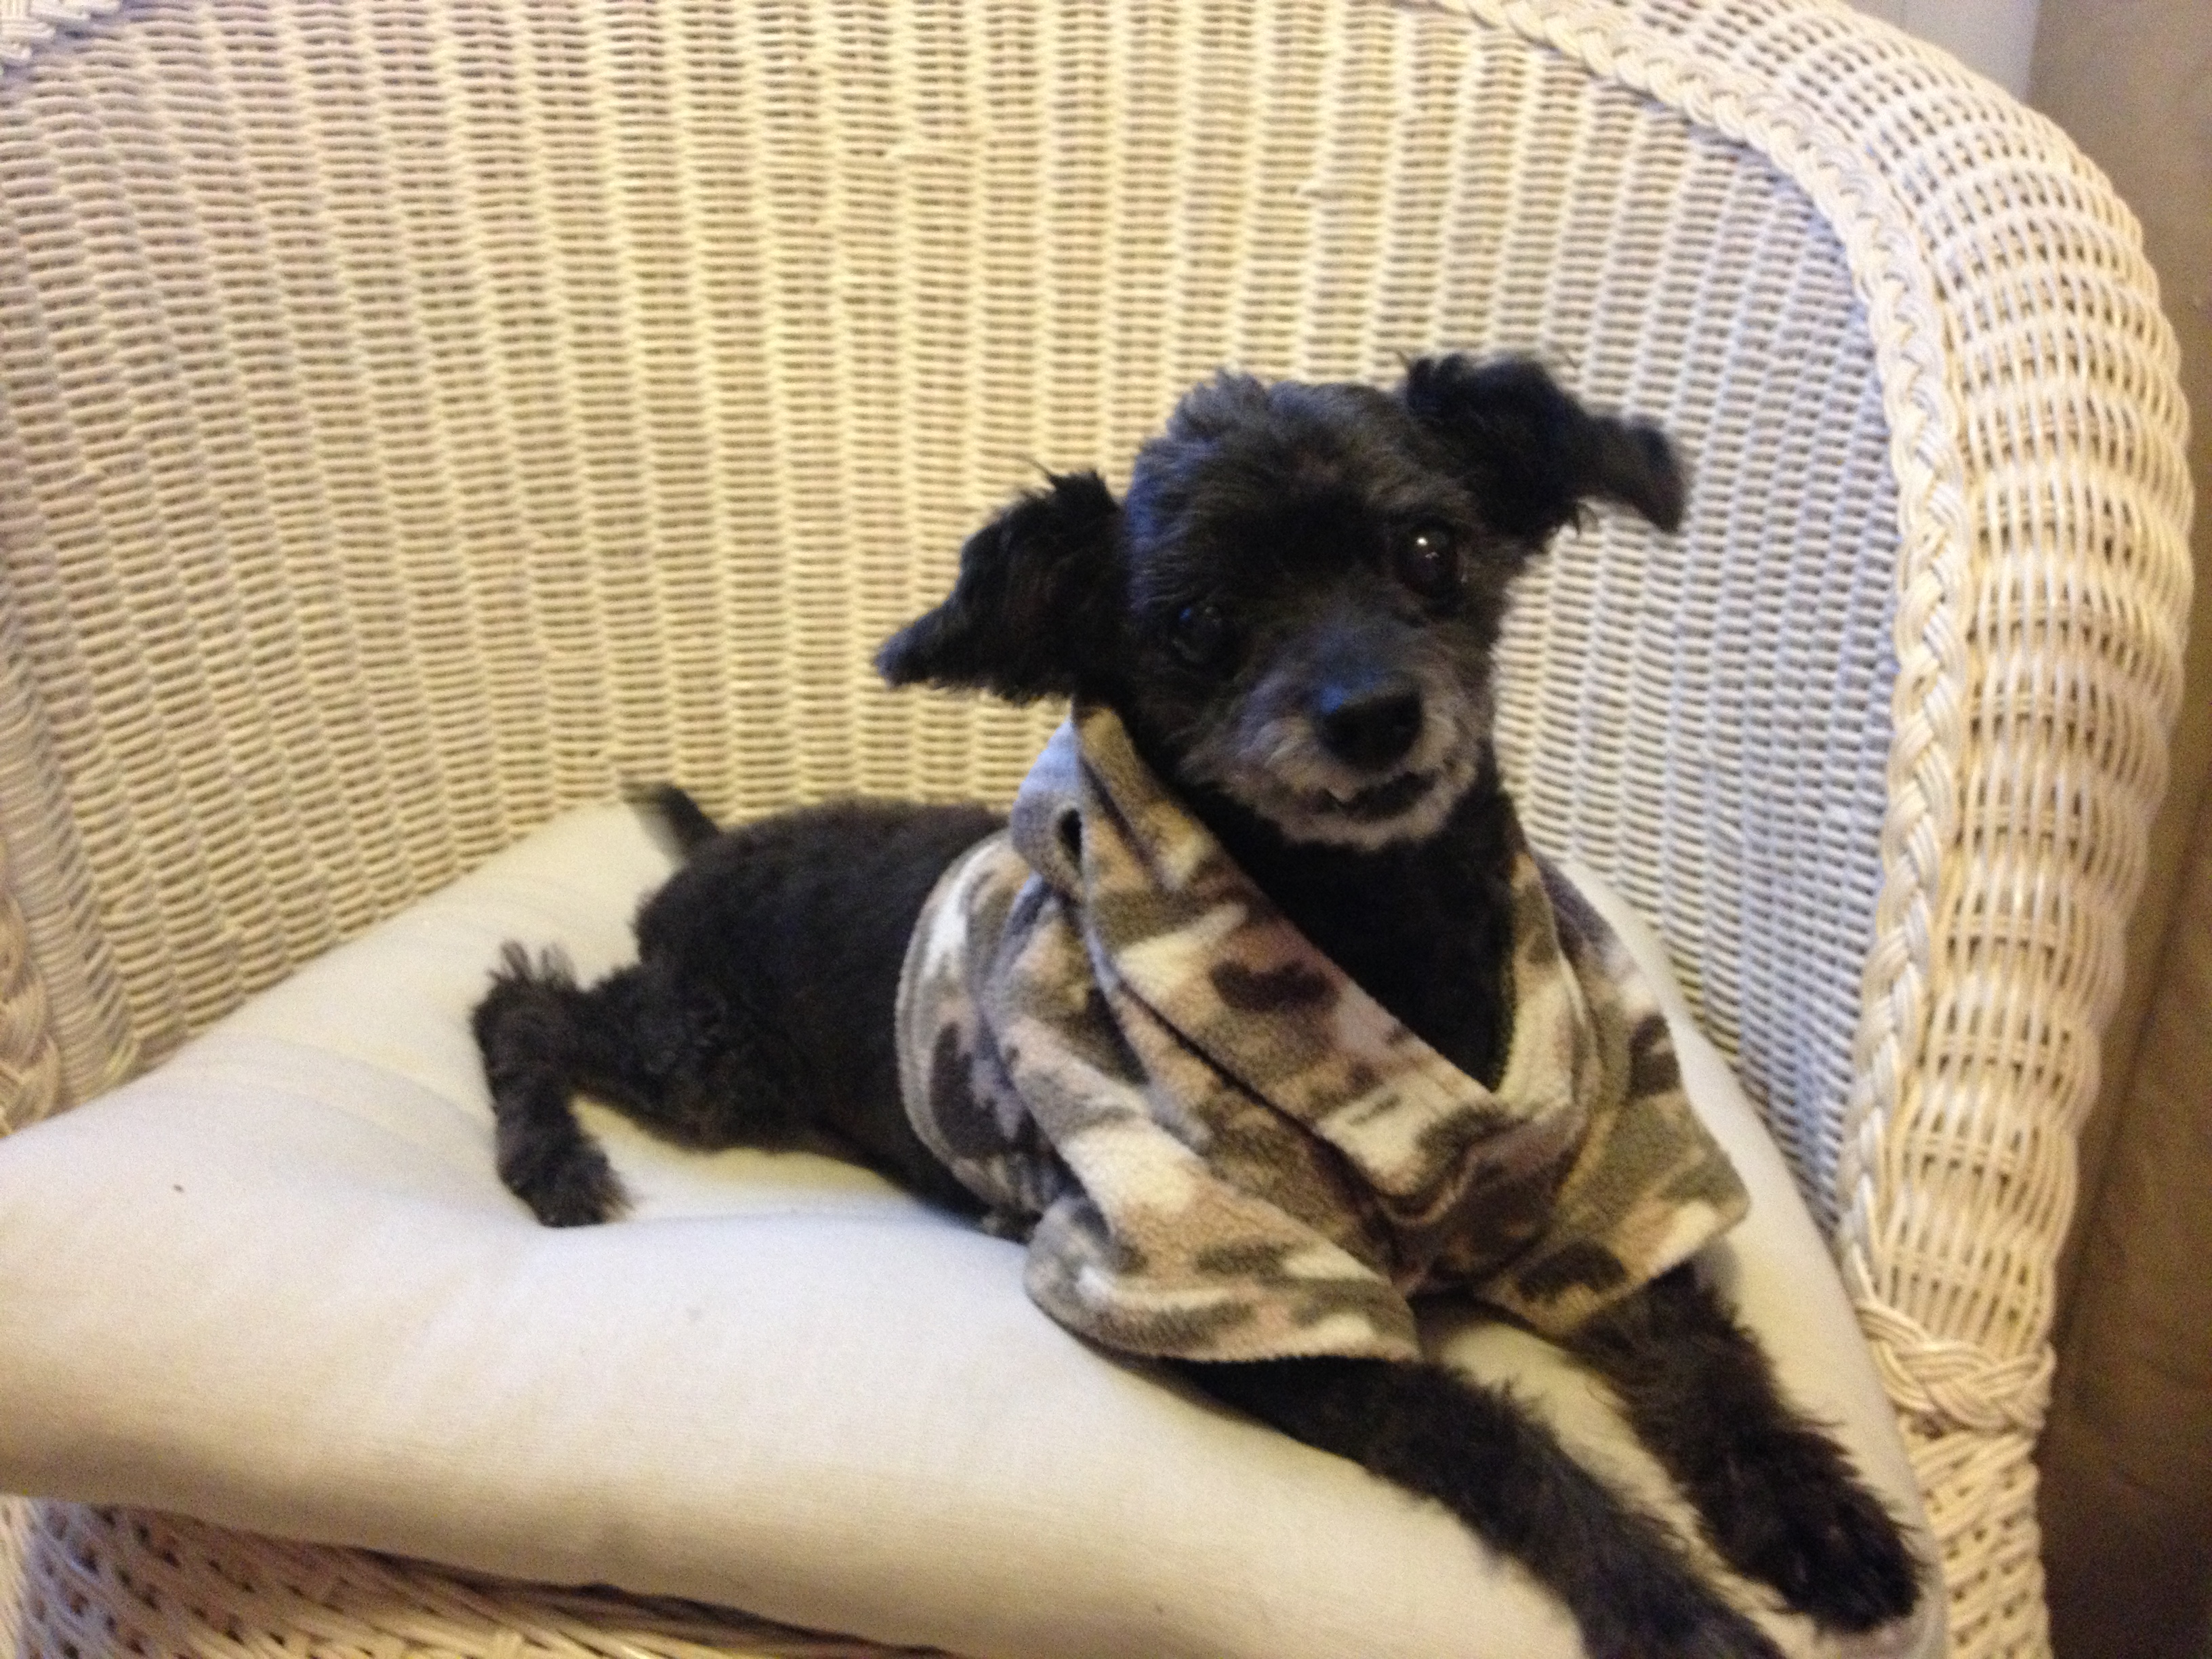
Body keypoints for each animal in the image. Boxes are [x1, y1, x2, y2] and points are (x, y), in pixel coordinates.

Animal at [475, 355, 1922, 1659]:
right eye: (1194, 621)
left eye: (1425, 547)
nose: (1370, 714)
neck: (1385, 928)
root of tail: (709, 854)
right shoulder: (1256, 1292)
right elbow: (1501, 1443)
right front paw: (1669, 1602)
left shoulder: (1586, 1196)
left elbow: (1699, 1356)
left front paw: (1815, 1514)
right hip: (711, 1059)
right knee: (518, 1000)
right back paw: (551, 1161)